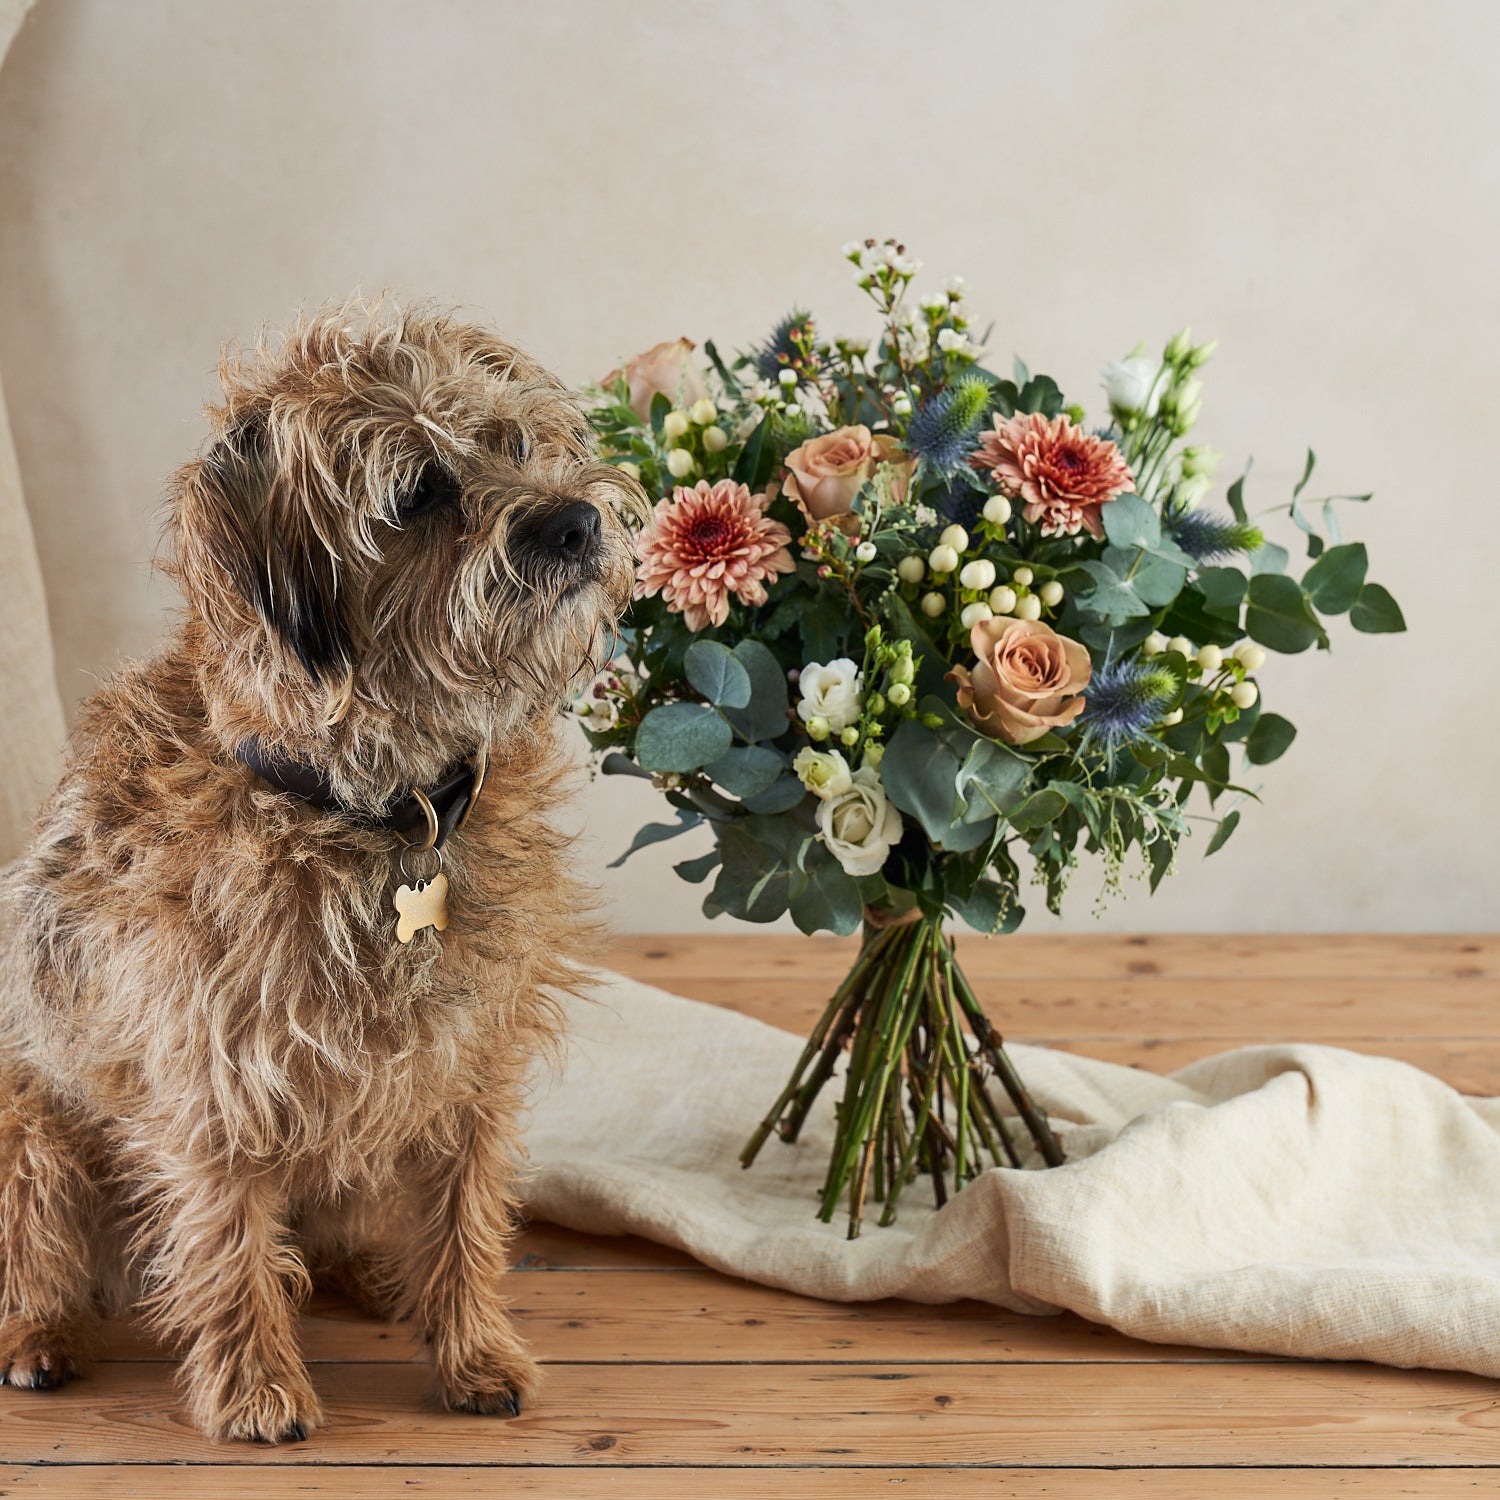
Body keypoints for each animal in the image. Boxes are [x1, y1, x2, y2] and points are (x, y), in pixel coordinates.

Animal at [0, 301, 639, 1440]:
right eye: (419, 491)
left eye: (517, 442)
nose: (573, 522)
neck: (370, 805)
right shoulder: (213, 1081)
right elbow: (227, 1242)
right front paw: (257, 1387)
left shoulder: (470, 1064)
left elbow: (467, 1217)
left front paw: (472, 1351)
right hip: (35, 1128)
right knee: (43, 1248)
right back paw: (39, 1336)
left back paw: (380, 1280)